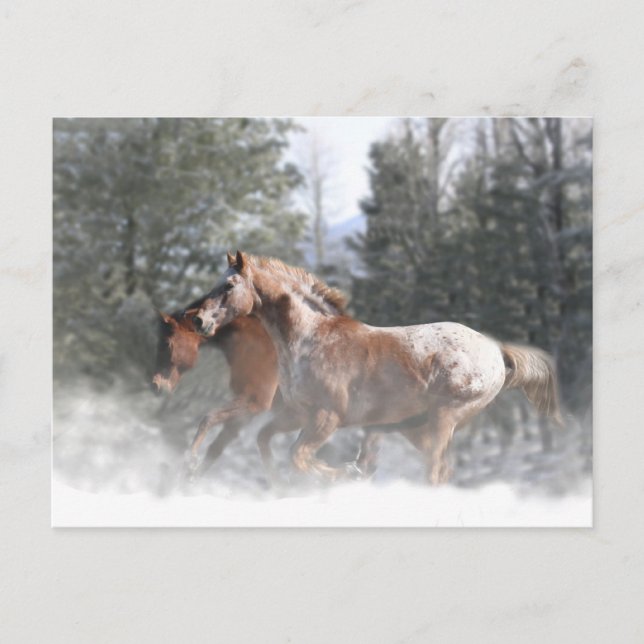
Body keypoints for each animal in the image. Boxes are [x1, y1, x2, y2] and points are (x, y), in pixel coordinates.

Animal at [192, 251, 563, 484]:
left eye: (228, 286)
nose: (198, 320)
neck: (311, 338)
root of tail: (496, 351)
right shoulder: (297, 414)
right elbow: (266, 441)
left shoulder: (327, 417)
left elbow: (299, 457)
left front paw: (347, 474)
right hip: (421, 427)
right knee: (442, 471)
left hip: (444, 419)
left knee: (434, 472)